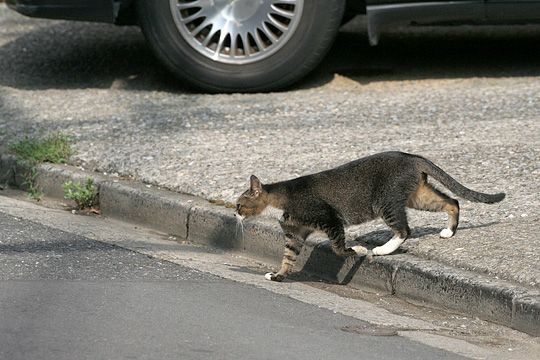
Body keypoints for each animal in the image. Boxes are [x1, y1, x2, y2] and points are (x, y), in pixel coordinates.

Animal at [236, 151, 506, 282]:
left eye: (239, 204)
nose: (235, 213)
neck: (281, 199)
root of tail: (411, 157)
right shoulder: (295, 235)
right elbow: (288, 258)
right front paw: (278, 276)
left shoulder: (330, 219)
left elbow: (338, 246)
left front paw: (356, 250)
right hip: (417, 196)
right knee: (452, 201)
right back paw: (449, 231)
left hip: (385, 202)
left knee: (404, 229)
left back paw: (381, 249)